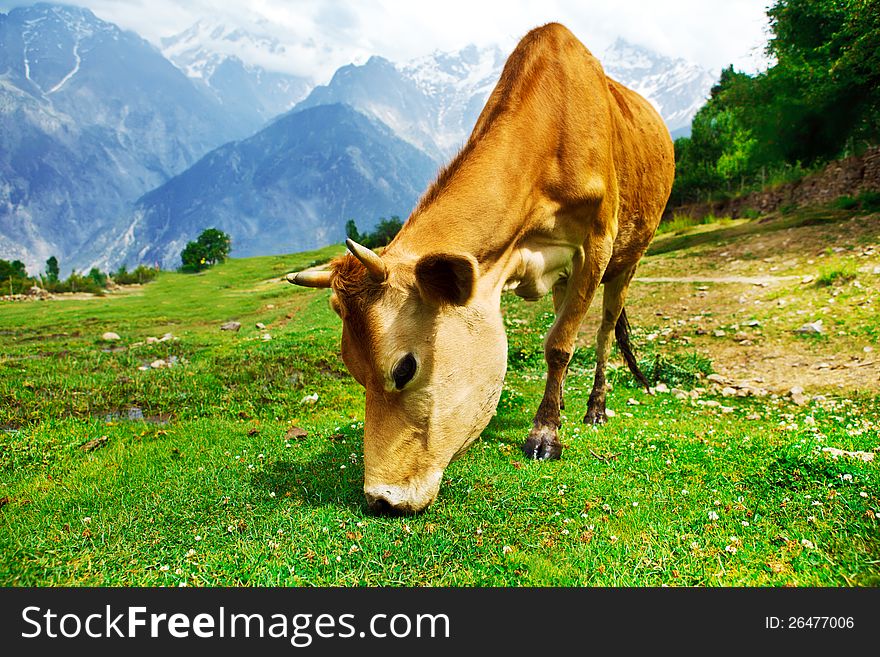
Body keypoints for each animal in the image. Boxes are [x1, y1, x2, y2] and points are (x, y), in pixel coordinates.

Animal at [288, 21, 672, 512]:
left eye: (403, 369)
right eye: (353, 369)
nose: (381, 499)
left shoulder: (597, 244)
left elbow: (560, 345)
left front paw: (545, 434)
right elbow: (560, 338)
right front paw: (552, 416)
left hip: (630, 255)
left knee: (605, 329)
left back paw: (594, 407)